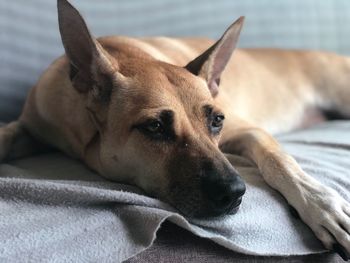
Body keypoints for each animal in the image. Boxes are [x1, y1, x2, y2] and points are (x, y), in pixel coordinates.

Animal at [0, 0, 350, 260]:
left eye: (217, 121)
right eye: (155, 127)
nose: (235, 193)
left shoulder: (247, 130)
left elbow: (279, 160)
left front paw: (320, 205)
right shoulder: (33, 124)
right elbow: (8, 134)